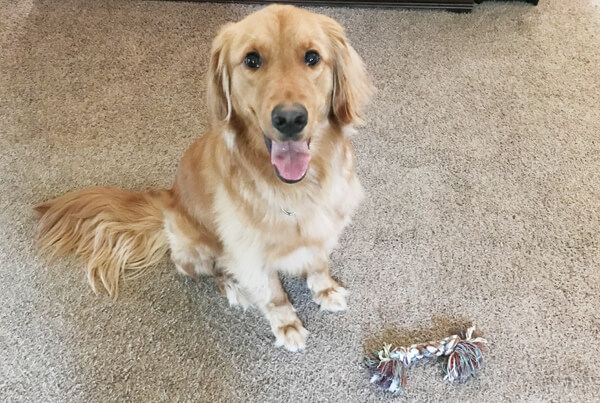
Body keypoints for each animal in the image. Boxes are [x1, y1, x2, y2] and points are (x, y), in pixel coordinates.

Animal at [35, 4, 372, 352]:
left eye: (312, 57)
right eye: (252, 60)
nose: (290, 118)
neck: (296, 189)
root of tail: (167, 196)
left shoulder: (324, 228)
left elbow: (318, 265)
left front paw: (325, 290)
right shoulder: (250, 255)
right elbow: (274, 295)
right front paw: (287, 325)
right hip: (196, 248)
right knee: (216, 272)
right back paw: (235, 289)